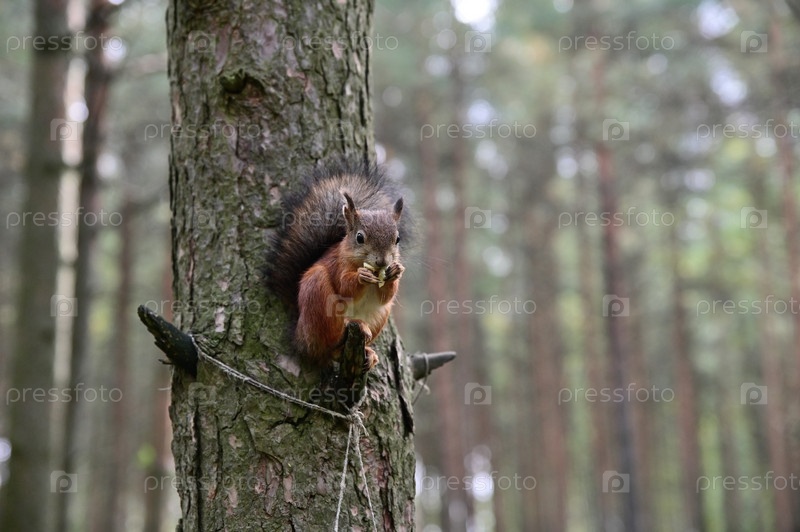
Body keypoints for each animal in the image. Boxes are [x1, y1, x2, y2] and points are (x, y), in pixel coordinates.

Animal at [266, 161, 410, 370]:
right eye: (359, 237)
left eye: (397, 239)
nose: (383, 262)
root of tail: (300, 335)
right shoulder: (338, 265)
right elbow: (344, 287)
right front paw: (361, 277)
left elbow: (386, 296)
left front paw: (395, 272)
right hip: (318, 294)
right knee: (330, 342)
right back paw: (352, 325)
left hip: (379, 316)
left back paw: (369, 353)